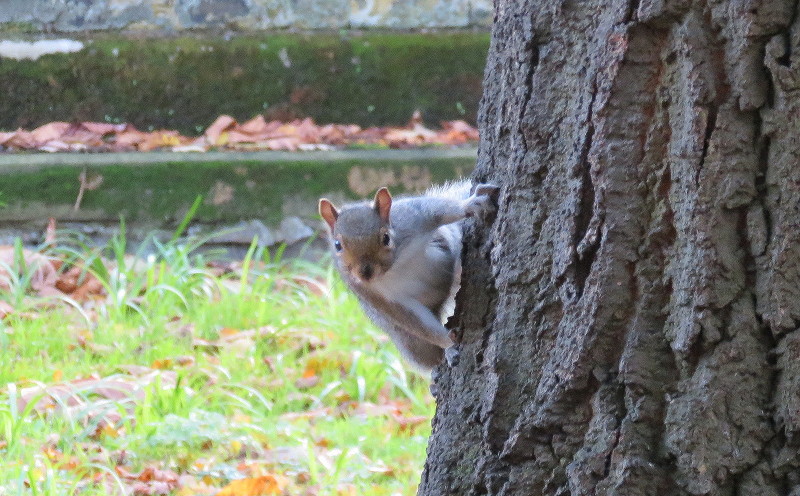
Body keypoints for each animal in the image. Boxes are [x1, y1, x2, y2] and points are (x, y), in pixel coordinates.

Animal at [318, 179, 500, 372]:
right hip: (407, 339)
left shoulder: (411, 219)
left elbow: (436, 210)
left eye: (386, 238)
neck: (394, 267)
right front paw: (449, 346)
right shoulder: (376, 297)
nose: (366, 273)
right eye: (337, 245)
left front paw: (470, 204)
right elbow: (418, 324)